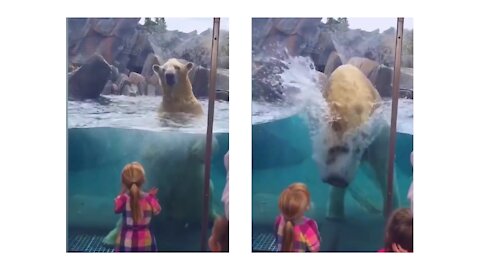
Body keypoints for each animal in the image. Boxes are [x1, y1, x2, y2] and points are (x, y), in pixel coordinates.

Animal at [320, 63, 400, 219]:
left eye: (358, 149)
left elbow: (383, 168)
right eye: (331, 148)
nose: (336, 180)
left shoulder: (379, 132)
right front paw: (334, 213)